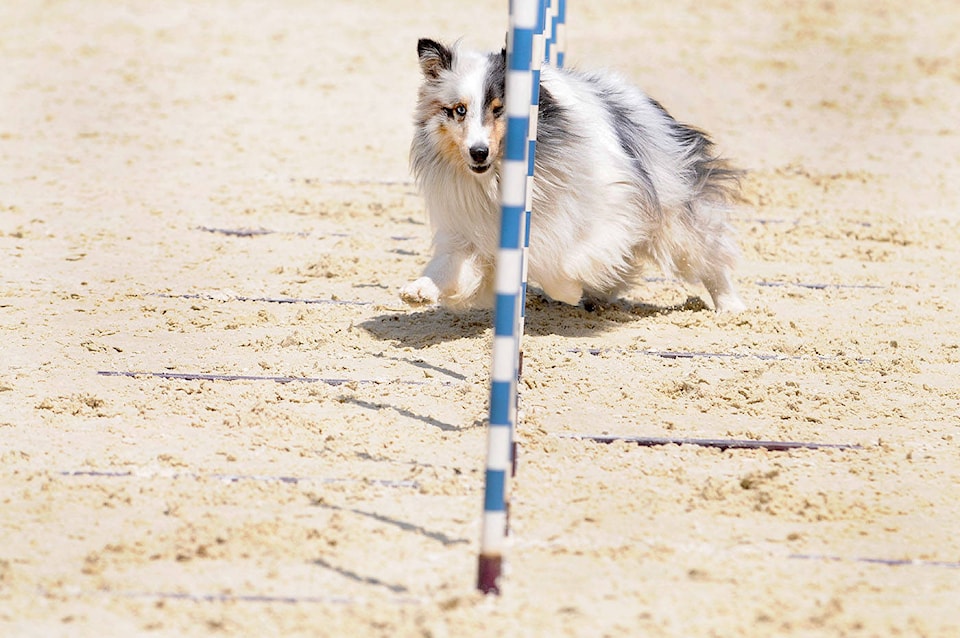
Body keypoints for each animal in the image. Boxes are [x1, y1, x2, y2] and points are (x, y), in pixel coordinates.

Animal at [402, 38, 748, 314]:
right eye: (459, 110)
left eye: (499, 109)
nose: (478, 152)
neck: (495, 180)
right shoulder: (471, 233)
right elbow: (448, 267)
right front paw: (418, 290)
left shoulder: (611, 212)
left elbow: (561, 263)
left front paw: (569, 291)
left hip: (675, 220)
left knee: (709, 257)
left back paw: (730, 308)